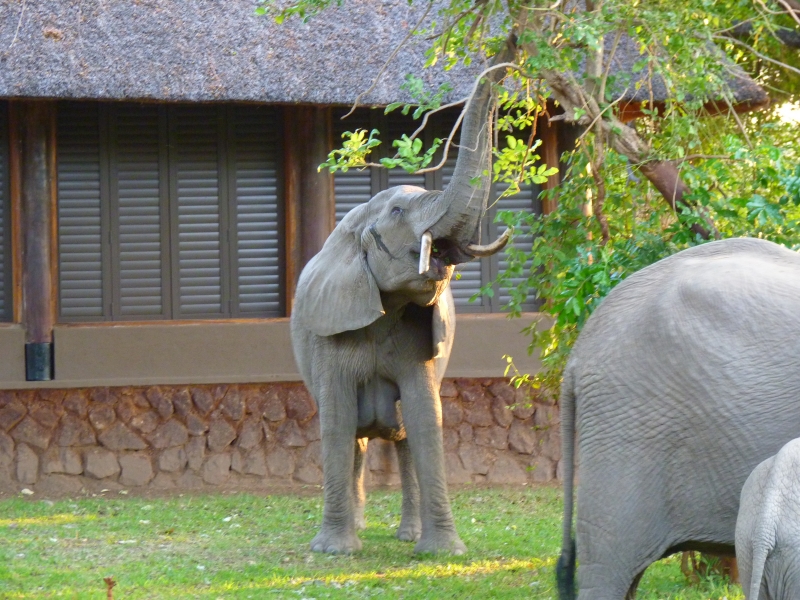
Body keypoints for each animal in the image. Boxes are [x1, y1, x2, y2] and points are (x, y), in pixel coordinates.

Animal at [290, 40, 516, 555]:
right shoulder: (329, 333)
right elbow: (335, 419)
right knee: (354, 434)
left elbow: (424, 416)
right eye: (396, 211)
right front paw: (333, 551)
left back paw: (406, 534)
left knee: (404, 436)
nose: (510, 60)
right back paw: (355, 528)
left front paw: (443, 553)